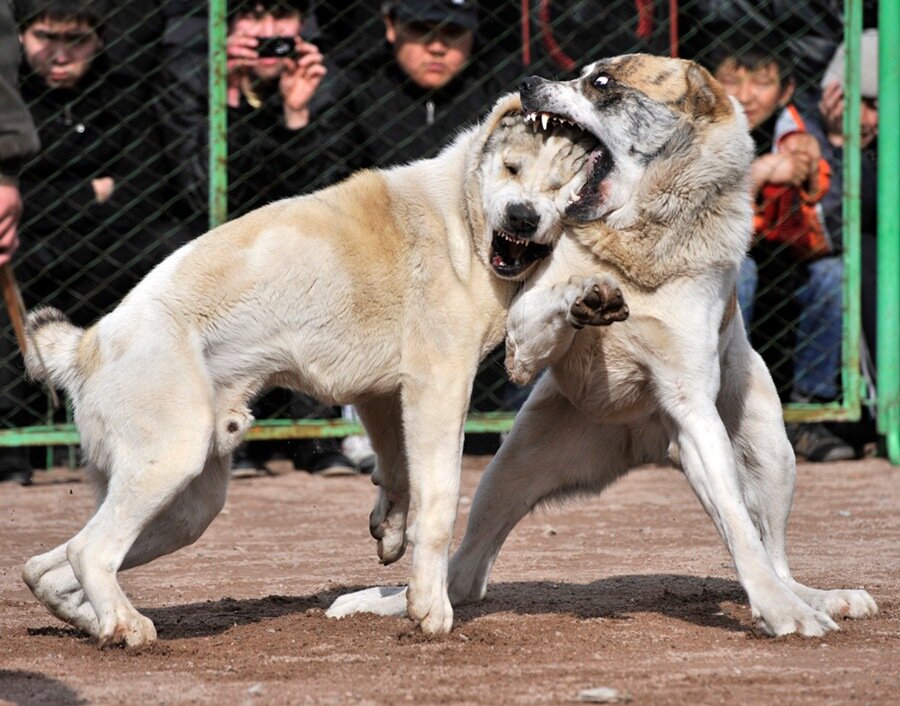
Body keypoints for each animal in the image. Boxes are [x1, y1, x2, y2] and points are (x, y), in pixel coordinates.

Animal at [19, 92, 620, 644]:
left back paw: (94, 622)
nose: (523, 216)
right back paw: (126, 626)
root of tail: (86, 345)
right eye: (512, 169)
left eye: (563, 187)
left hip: (186, 507)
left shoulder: (384, 393)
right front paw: (428, 607)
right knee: (88, 550)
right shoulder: (439, 383)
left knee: (44, 567)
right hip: (170, 460)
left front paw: (389, 531)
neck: (459, 219)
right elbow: (439, 501)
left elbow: (398, 473)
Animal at [328, 55, 880, 636]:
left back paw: (816, 597)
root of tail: (645, 441)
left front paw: (782, 611)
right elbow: (545, 314)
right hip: (508, 470)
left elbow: (738, 526)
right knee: (467, 572)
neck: (633, 244)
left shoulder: (692, 409)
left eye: (601, 82)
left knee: (774, 552)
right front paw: (584, 298)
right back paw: (402, 601)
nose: (527, 82)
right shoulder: (523, 330)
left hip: (769, 453)